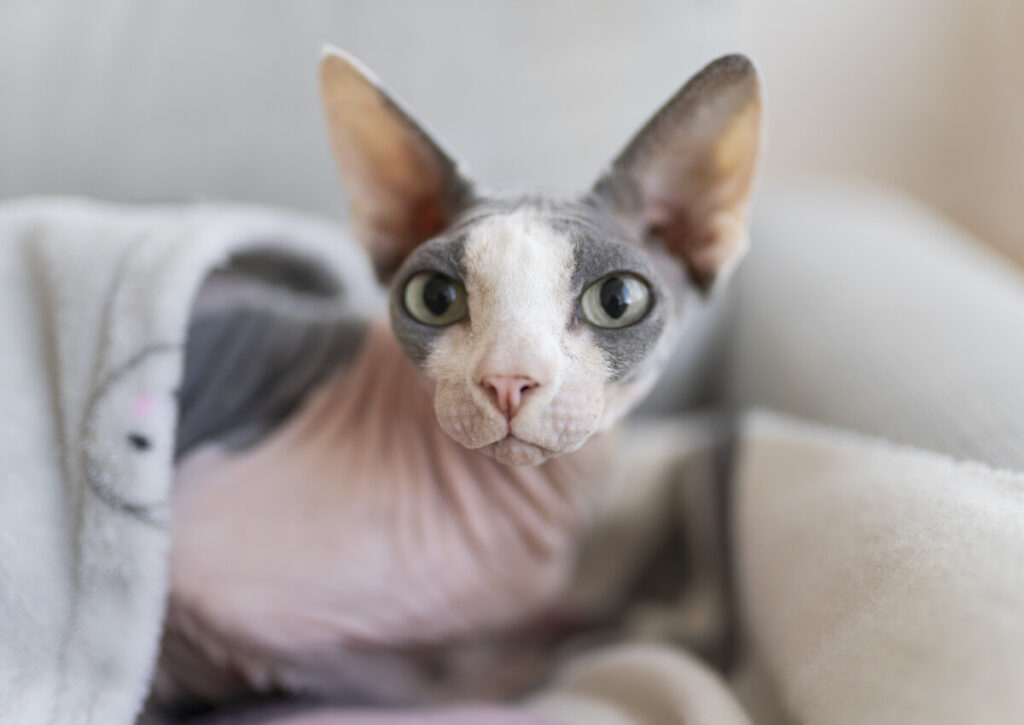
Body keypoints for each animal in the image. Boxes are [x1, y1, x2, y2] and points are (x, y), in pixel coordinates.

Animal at [151, 46, 761, 720]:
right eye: (436, 297)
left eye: (617, 300)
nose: (508, 380)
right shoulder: (214, 597)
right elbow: (409, 681)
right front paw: (509, 663)